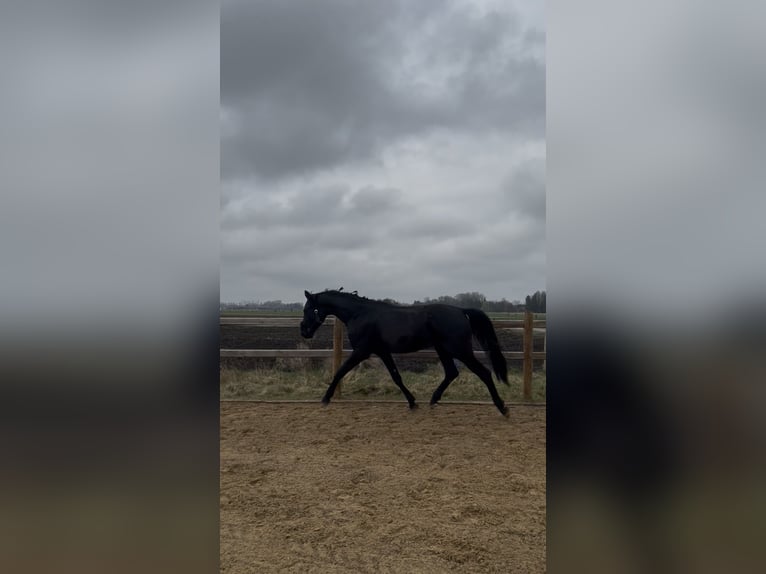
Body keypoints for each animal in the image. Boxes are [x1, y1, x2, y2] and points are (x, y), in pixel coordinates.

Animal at [300, 289, 510, 416]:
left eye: (308, 309)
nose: (304, 331)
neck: (359, 314)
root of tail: (460, 311)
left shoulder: (362, 351)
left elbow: (340, 371)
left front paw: (325, 398)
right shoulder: (382, 351)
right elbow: (396, 377)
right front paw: (412, 402)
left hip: (459, 350)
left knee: (484, 372)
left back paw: (502, 407)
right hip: (443, 349)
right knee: (451, 372)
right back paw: (433, 400)